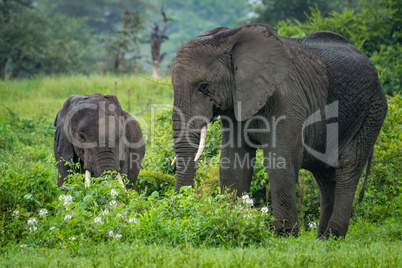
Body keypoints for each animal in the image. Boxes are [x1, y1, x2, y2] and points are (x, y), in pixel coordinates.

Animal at [171, 24, 388, 239]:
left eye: (203, 86)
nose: (181, 207)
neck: (228, 37)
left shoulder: (286, 100)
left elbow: (280, 160)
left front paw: (285, 235)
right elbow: (233, 164)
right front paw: (232, 223)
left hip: (372, 110)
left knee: (348, 167)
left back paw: (332, 236)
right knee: (325, 173)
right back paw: (321, 239)